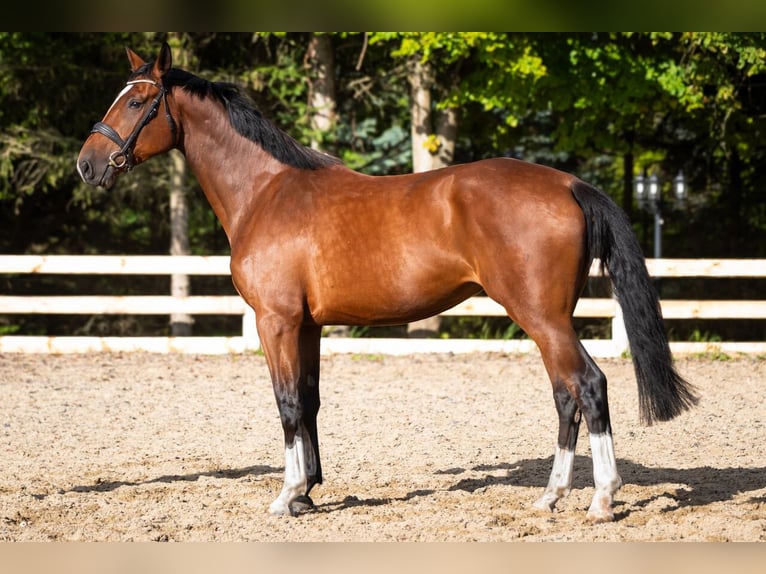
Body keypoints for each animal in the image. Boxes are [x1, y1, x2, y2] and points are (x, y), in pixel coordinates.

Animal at [76, 42, 697, 523]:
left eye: (137, 102)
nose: (87, 164)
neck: (266, 191)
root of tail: (568, 183)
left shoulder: (276, 321)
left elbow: (285, 403)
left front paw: (285, 496)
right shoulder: (308, 326)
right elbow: (309, 400)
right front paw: (308, 493)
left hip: (541, 317)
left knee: (588, 386)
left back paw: (601, 499)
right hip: (551, 320)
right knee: (565, 394)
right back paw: (550, 497)